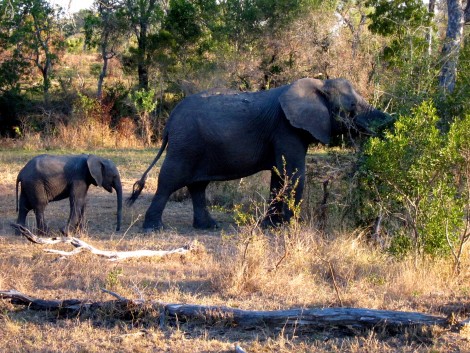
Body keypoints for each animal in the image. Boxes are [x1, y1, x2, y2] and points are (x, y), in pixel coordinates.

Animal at [127, 77, 390, 231]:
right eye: (352, 107)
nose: (392, 121)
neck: (318, 86)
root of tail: (170, 121)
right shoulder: (286, 128)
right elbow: (294, 174)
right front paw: (291, 228)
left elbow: (279, 177)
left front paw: (270, 227)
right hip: (186, 144)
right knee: (170, 180)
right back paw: (154, 228)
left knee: (198, 185)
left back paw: (209, 227)